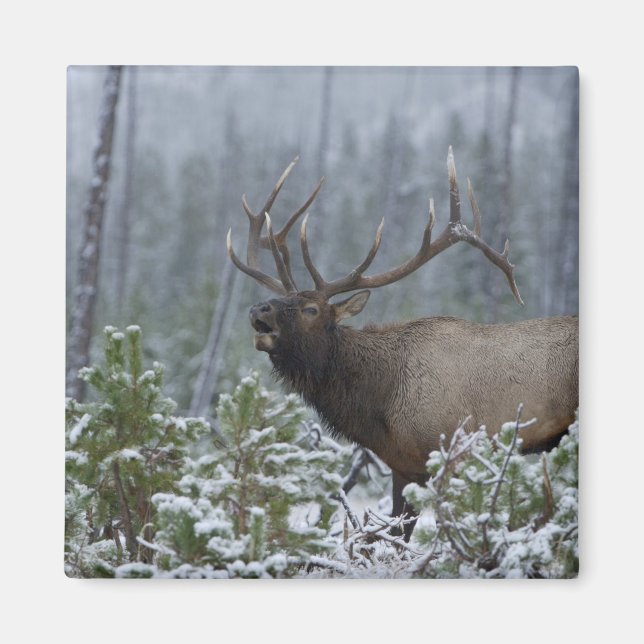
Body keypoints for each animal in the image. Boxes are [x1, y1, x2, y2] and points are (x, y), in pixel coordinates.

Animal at [226, 148, 579, 541]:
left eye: (310, 309)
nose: (258, 309)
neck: (381, 400)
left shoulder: (453, 450)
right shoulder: (402, 465)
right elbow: (397, 533)